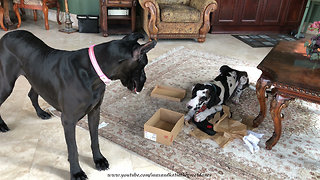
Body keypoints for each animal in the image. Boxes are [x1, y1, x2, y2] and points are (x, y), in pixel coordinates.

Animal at [0, 30, 156, 179]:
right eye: (143, 65)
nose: (145, 80)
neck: (92, 72)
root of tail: (7, 35)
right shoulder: (68, 120)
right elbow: (73, 148)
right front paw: (76, 172)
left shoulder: (94, 112)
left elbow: (95, 139)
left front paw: (98, 160)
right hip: (7, 84)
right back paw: (2, 125)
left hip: (36, 79)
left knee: (32, 94)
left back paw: (41, 113)